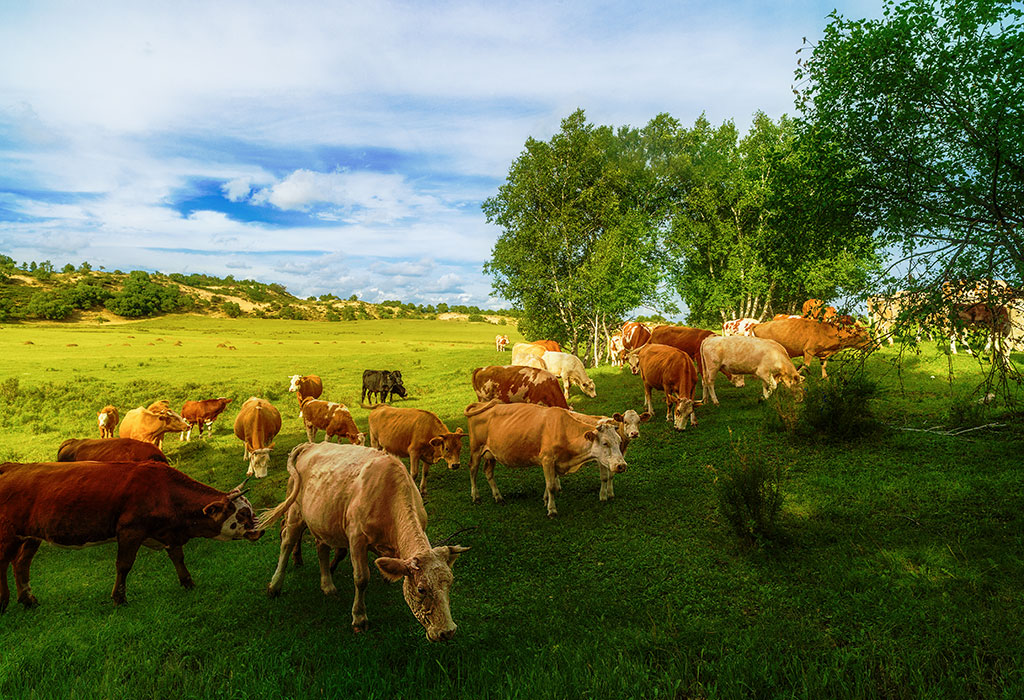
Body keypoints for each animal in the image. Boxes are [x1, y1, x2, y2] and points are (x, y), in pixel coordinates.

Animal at [0, 464, 260, 614]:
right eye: (242, 514)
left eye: (250, 509)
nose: (260, 530)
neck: (164, 490)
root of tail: (10, 467)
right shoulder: (130, 530)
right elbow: (124, 565)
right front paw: (119, 598)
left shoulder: (168, 533)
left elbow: (178, 557)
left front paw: (188, 582)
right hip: (7, 534)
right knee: (3, 563)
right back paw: (4, 602)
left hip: (30, 536)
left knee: (21, 563)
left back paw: (28, 599)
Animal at [258, 446, 468, 642]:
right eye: (421, 589)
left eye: (450, 582)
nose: (447, 631)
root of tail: (310, 445)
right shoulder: (356, 538)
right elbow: (361, 578)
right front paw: (359, 618)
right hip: (295, 512)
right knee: (287, 542)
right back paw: (275, 586)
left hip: (322, 520)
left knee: (321, 547)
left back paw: (327, 585)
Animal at [462, 399, 622, 519]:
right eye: (605, 443)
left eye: (619, 441)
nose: (622, 465)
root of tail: (480, 404)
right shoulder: (547, 459)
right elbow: (551, 486)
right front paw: (551, 510)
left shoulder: (555, 463)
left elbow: (550, 484)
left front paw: (545, 500)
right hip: (475, 450)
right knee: (473, 470)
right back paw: (476, 496)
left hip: (491, 454)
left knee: (488, 472)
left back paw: (498, 497)